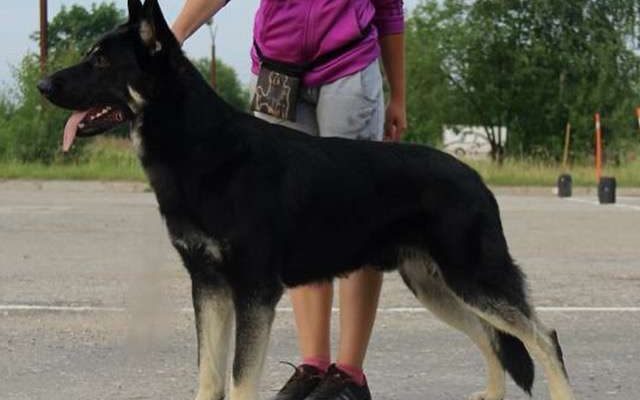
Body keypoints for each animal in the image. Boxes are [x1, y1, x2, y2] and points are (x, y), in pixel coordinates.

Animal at [38, 1, 576, 399]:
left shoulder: (253, 292)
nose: (42, 84)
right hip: (436, 285)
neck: (201, 147)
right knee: (493, 337)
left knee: (542, 337)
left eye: (101, 61)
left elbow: (239, 381)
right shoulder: (208, 287)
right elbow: (208, 377)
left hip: (472, 278)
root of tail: (476, 179)